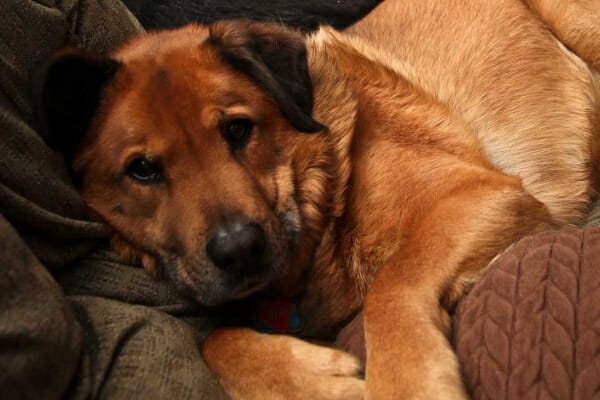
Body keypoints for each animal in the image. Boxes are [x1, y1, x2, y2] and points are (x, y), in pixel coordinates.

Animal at [37, 0, 600, 398]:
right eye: (142, 170)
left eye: (238, 129)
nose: (240, 250)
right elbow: (213, 340)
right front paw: (308, 380)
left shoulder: (477, 193)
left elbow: (390, 287)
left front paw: (410, 385)